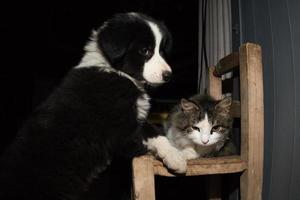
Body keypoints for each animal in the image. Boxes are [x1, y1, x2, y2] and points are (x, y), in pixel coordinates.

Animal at [0, 13, 186, 199]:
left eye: (161, 51)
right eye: (145, 51)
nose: (168, 75)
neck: (117, 72)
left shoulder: (135, 119)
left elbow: (156, 133)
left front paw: (176, 156)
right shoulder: (121, 131)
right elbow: (142, 141)